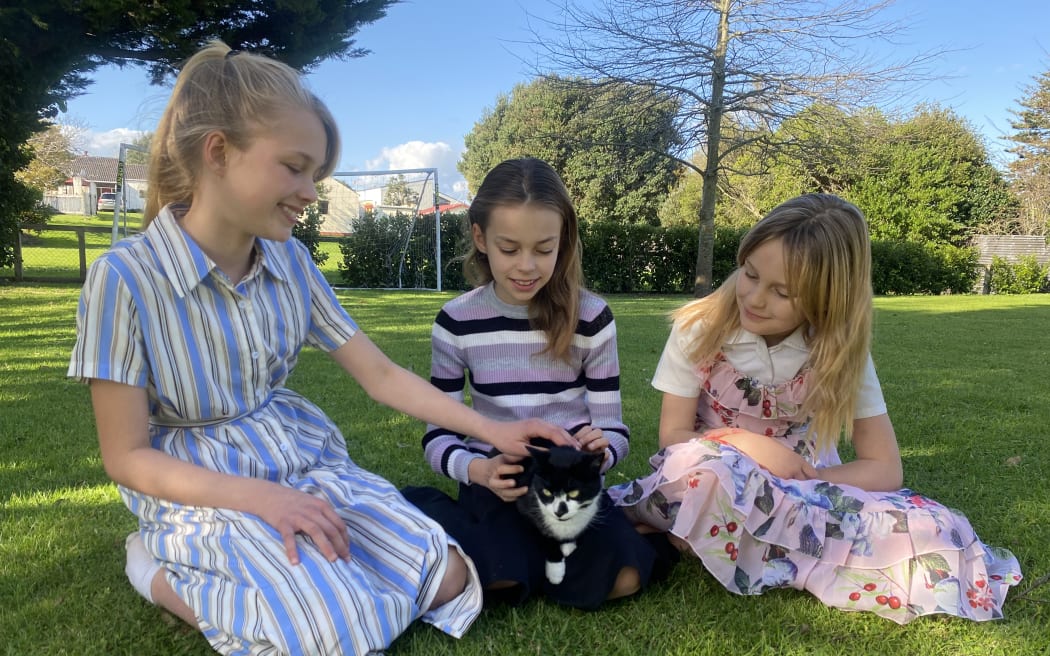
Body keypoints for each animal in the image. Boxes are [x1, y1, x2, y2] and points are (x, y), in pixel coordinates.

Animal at [510, 436, 604, 587]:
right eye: (547, 492)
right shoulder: (526, 511)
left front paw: (568, 545)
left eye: (574, 492)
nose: (559, 512)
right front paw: (555, 571)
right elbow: (546, 538)